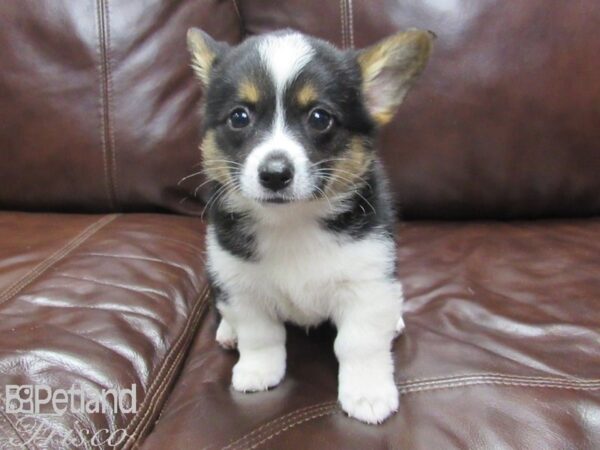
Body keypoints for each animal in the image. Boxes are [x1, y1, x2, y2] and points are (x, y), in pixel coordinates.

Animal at [186, 29, 432, 426]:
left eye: (320, 118)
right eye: (239, 116)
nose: (274, 174)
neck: (292, 222)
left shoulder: (367, 281)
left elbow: (359, 343)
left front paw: (367, 393)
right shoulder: (240, 283)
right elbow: (260, 335)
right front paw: (257, 372)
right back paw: (227, 332)